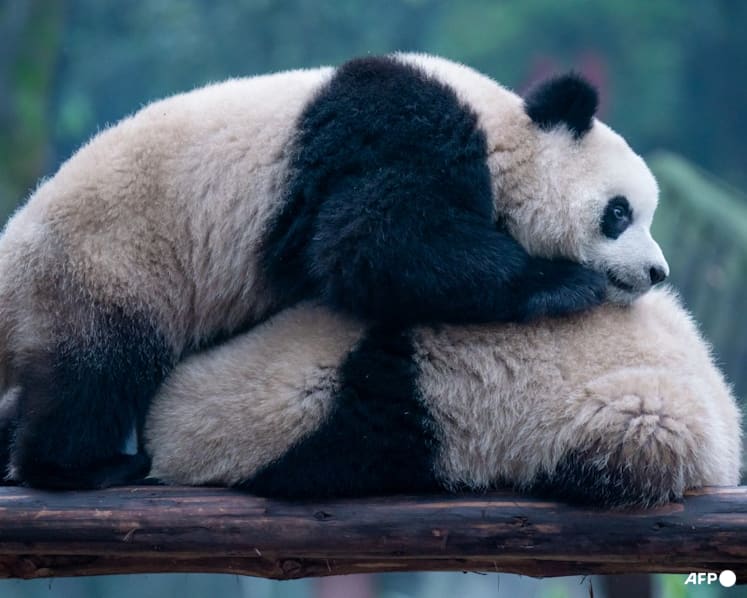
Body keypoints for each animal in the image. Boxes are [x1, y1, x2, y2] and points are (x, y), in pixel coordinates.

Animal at [0, 53, 668, 489]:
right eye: (619, 212)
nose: (657, 272)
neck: (501, 131)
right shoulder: (404, 129)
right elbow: (372, 243)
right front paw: (560, 285)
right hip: (99, 270)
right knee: (96, 374)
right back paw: (84, 466)